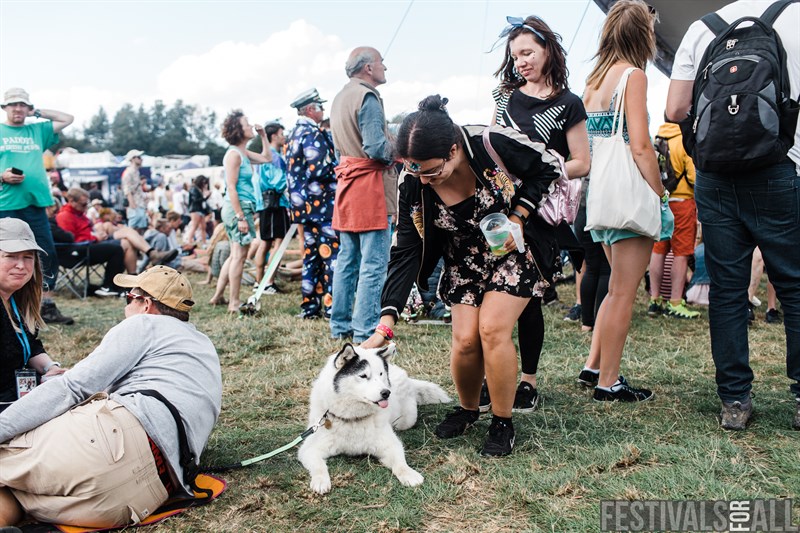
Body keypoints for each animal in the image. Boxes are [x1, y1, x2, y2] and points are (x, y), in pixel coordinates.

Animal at [300, 342, 450, 492]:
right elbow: (319, 466)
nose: (386, 393)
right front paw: (320, 480)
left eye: (381, 374)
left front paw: (409, 474)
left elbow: (400, 463)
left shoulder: (391, 445)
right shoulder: (309, 449)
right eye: (363, 376)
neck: (354, 418)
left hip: (406, 420)